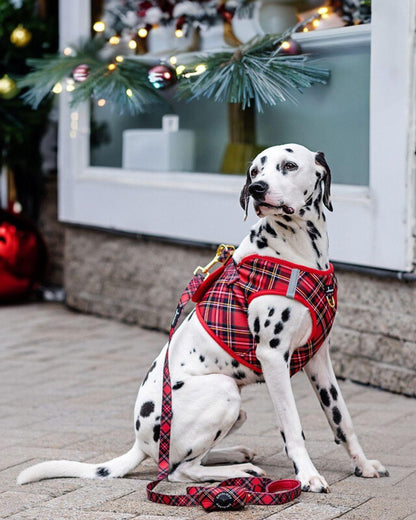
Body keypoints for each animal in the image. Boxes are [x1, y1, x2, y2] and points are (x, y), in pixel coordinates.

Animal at [17, 144, 386, 494]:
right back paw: (238, 471)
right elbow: (293, 427)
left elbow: (341, 419)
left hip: (236, 409)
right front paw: (307, 476)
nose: (257, 189)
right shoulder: (273, 357)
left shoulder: (318, 358)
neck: (299, 252)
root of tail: (140, 443)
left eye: (289, 165)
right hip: (225, 391)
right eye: (255, 171)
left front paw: (363, 464)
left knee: (185, 460)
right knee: (180, 471)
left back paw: (235, 454)